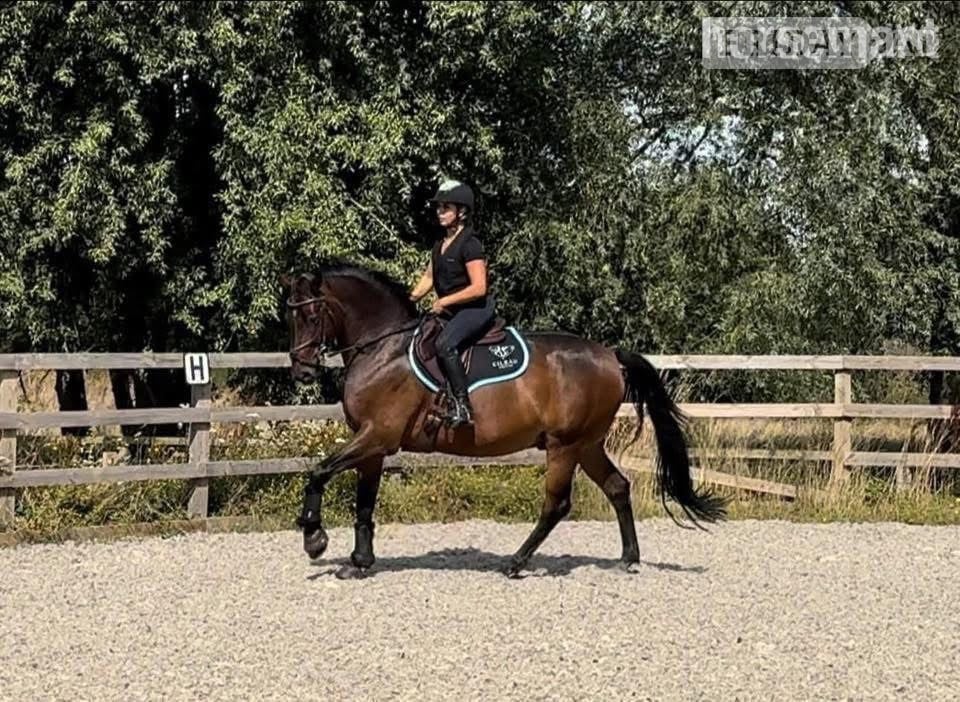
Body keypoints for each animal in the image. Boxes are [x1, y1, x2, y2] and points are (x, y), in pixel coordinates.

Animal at [281, 262, 727, 579]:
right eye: (292, 318)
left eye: (312, 315)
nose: (302, 371)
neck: (383, 348)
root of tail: (610, 356)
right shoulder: (372, 445)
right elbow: (364, 502)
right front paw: (358, 561)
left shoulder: (378, 437)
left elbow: (318, 472)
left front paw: (314, 538)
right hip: (587, 444)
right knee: (618, 487)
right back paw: (629, 558)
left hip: (564, 445)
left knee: (556, 503)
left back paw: (515, 563)